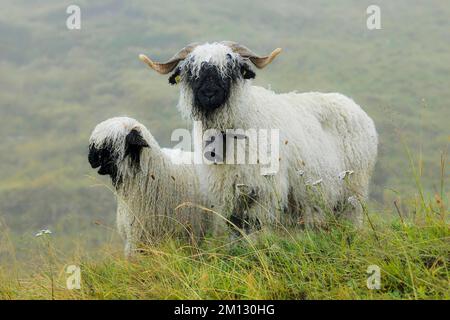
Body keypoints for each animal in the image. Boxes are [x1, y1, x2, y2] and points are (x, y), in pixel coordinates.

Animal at [139, 41, 378, 231]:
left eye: (231, 68)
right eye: (190, 71)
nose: (209, 94)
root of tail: (354, 106)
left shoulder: (265, 192)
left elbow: (256, 230)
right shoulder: (229, 195)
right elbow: (235, 231)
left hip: (353, 193)